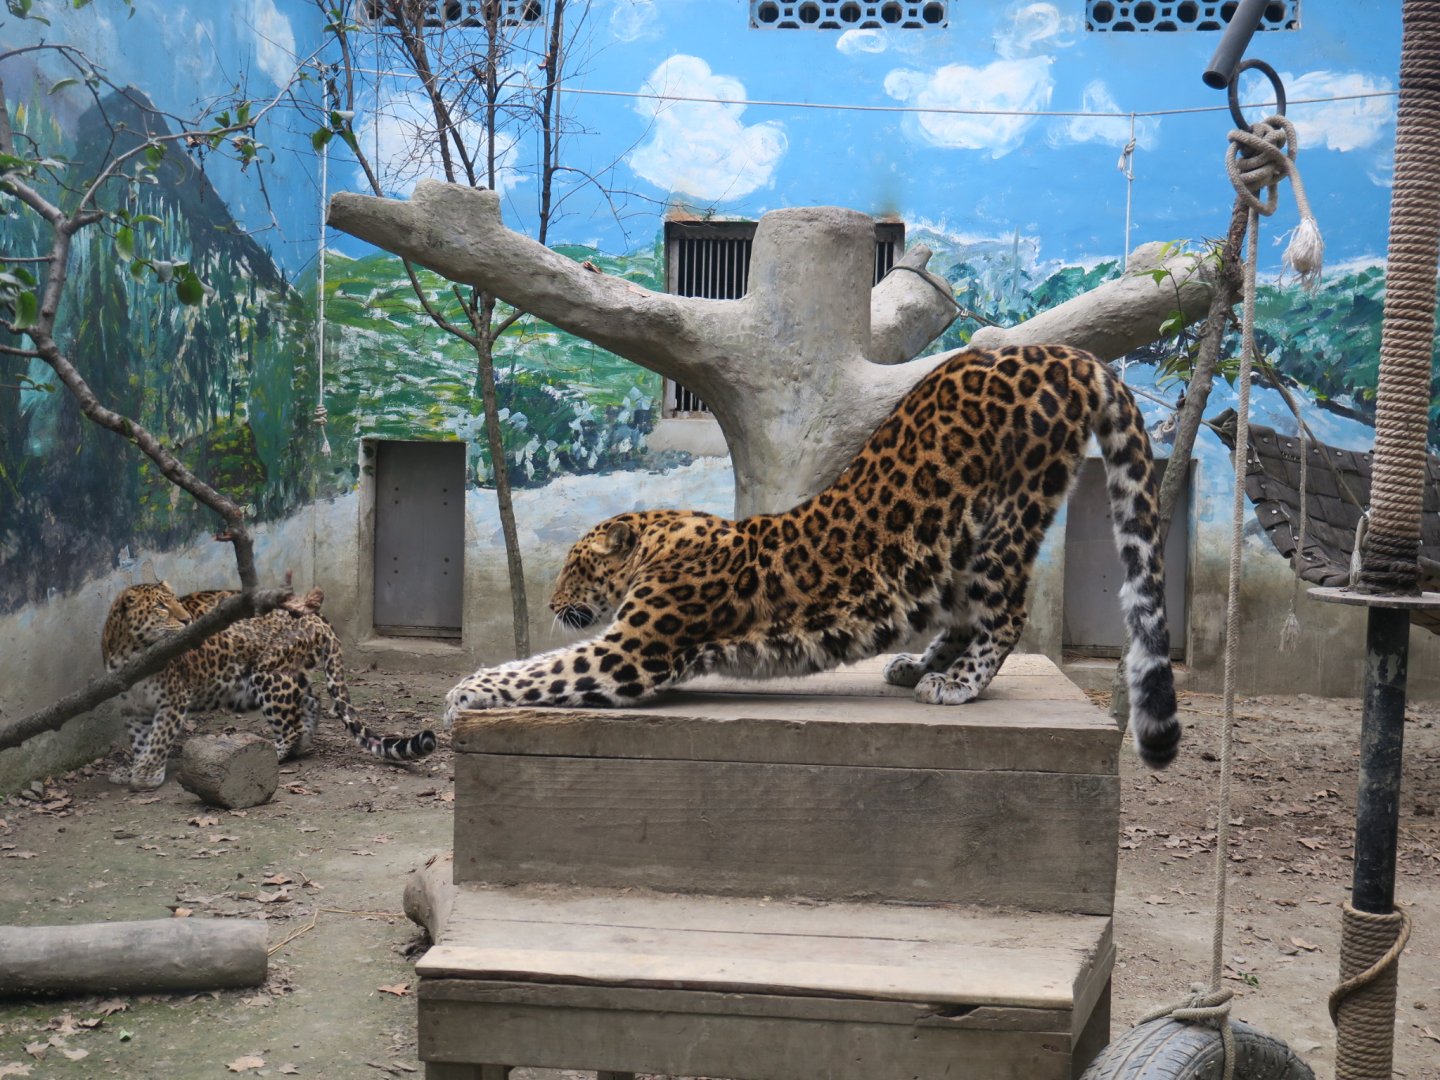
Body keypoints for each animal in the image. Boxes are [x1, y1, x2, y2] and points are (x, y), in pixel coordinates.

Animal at [103, 582, 438, 790]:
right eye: (161, 607)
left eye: (175, 603)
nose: (187, 621)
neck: (131, 652)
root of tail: (316, 615)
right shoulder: (133, 708)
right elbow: (140, 741)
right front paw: (134, 769)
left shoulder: (173, 699)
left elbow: (159, 737)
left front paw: (146, 775)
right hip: (282, 673)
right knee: (311, 700)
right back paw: (301, 744)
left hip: (266, 674)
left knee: (291, 721)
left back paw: (273, 752)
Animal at [444, 344, 1180, 768]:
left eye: (575, 567)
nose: (552, 602)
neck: (662, 538)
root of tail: (1062, 353)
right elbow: (543, 665)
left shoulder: (631, 652)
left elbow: (540, 668)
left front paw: (465, 691)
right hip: (950, 549)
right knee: (962, 615)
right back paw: (917, 666)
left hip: (1006, 517)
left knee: (1005, 613)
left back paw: (957, 683)